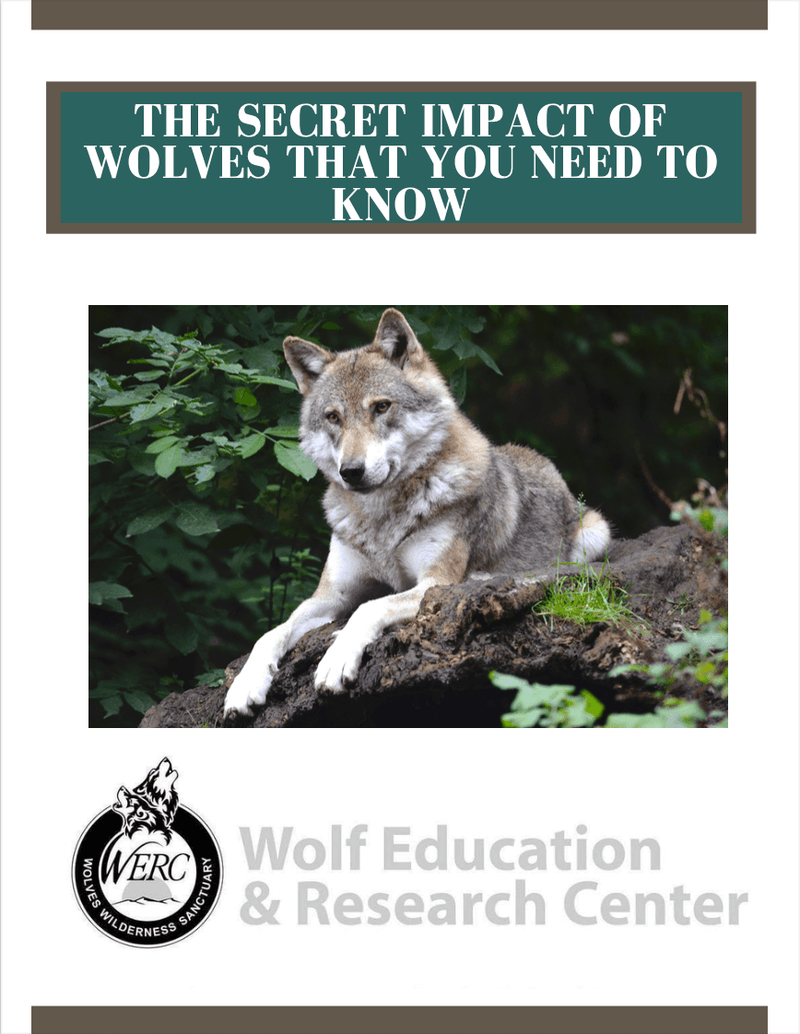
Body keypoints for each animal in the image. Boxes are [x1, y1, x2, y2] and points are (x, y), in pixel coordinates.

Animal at [224, 308, 611, 718]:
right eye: (333, 417)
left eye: (381, 406)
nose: (351, 471)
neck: (381, 520)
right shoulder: (330, 595)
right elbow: (272, 632)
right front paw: (244, 686)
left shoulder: (432, 583)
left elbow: (369, 608)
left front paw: (335, 659)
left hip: (594, 534)